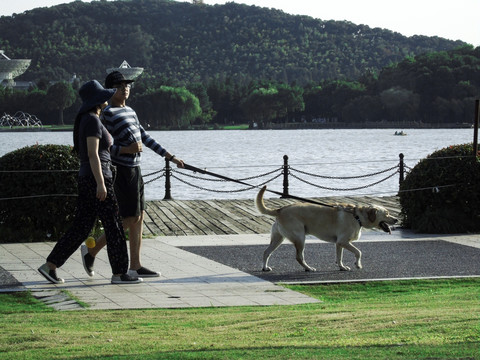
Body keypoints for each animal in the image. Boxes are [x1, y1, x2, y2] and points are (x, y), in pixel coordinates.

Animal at [255, 187, 398, 272]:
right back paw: (308, 268)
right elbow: (358, 252)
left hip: (278, 238)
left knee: (266, 252)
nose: (396, 219)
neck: (357, 216)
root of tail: (280, 210)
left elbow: (339, 256)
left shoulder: (339, 243)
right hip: (300, 238)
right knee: (299, 257)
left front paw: (341, 267)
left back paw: (265, 267)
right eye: (386, 213)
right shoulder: (344, 241)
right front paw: (358, 264)